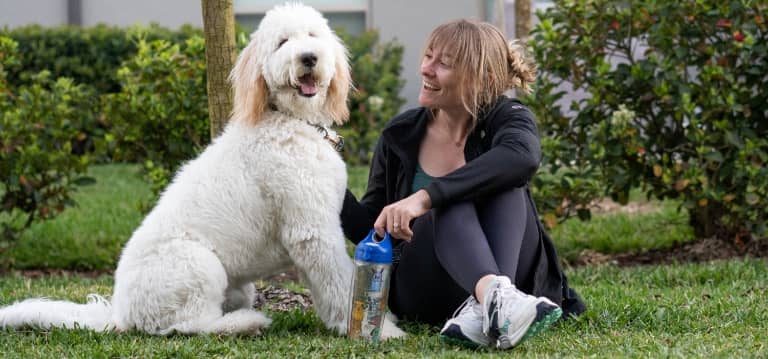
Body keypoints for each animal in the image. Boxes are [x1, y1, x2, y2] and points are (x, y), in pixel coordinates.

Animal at [0, 2, 404, 340]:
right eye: (282, 42)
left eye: (313, 36)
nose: (308, 58)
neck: (288, 120)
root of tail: (120, 312)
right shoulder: (312, 231)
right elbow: (340, 282)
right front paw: (378, 330)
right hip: (199, 265)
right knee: (187, 326)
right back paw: (244, 324)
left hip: (236, 284)